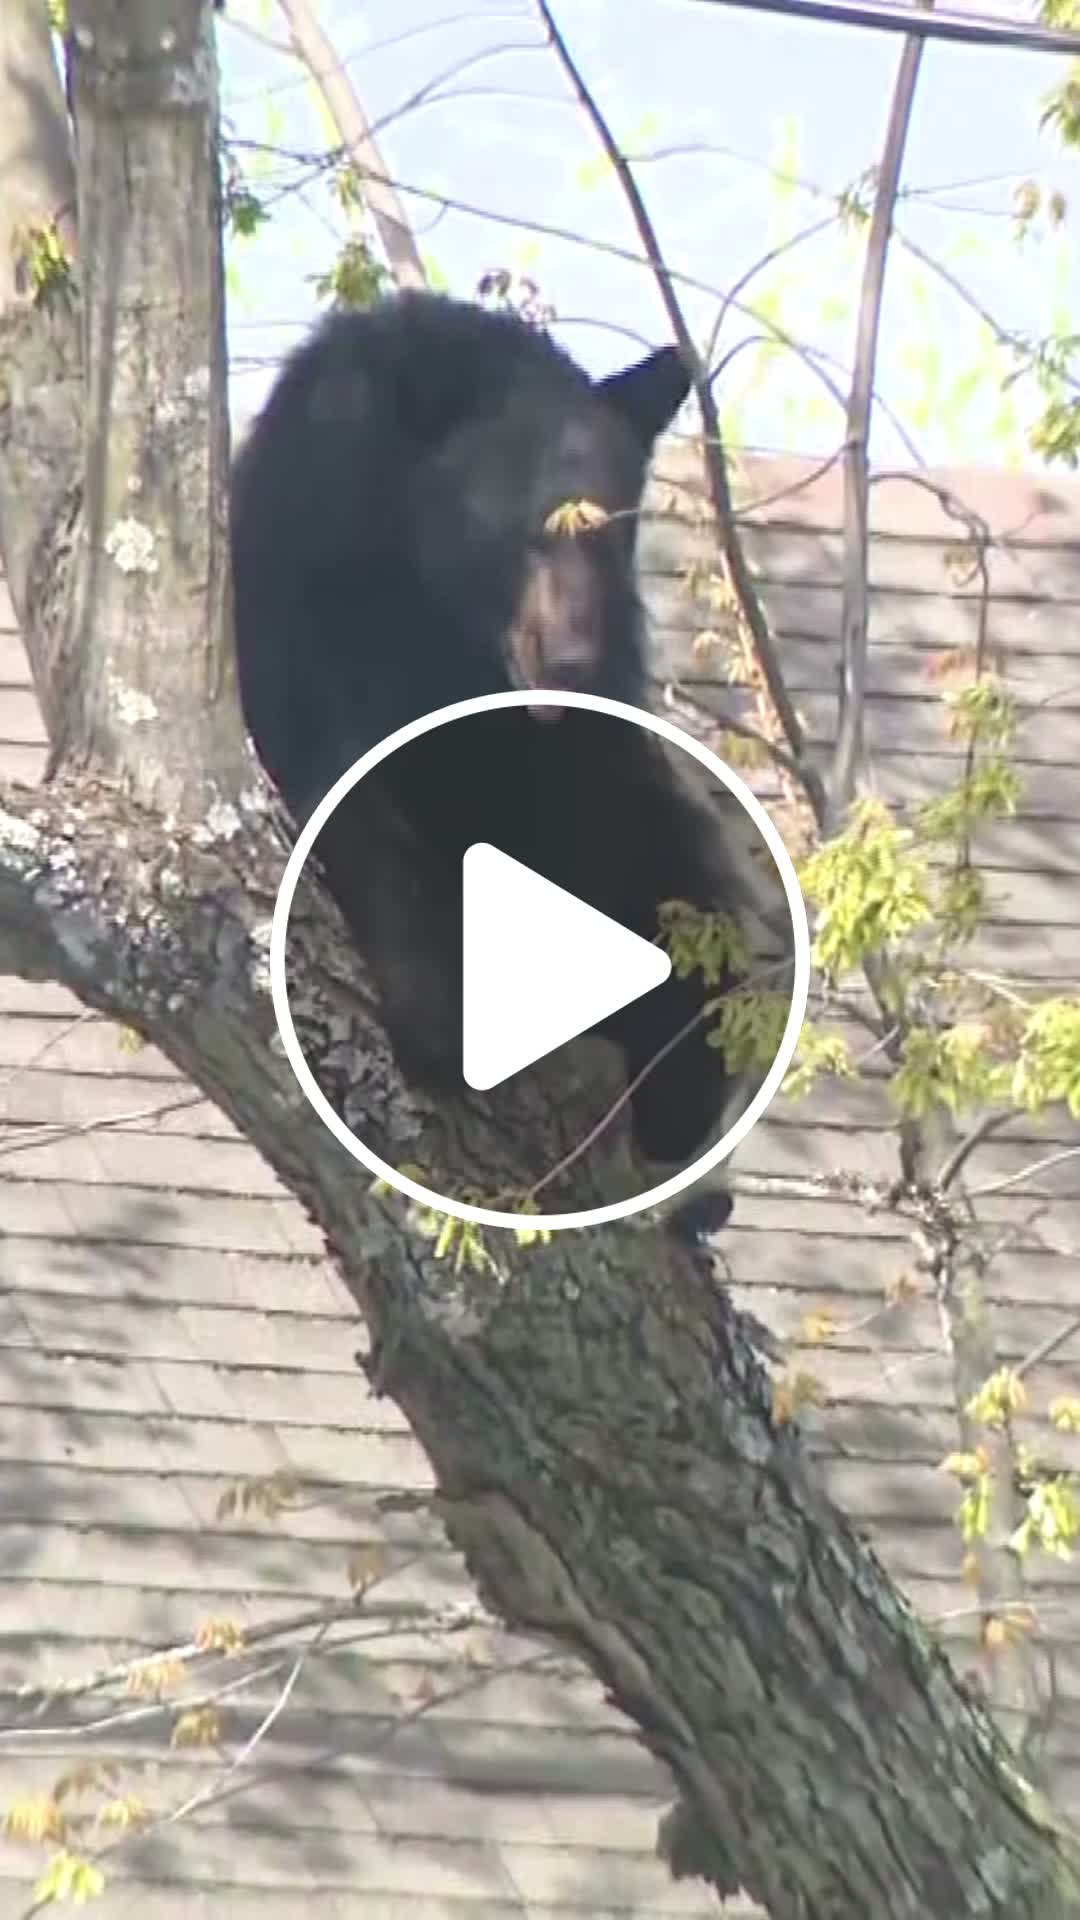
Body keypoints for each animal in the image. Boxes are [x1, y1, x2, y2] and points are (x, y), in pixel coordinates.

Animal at [230, 290, 762, 1219]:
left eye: (609, 535)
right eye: (531, 532)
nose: (572, 659)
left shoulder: (578, 736)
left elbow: (576, 821)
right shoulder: (303, 580)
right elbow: (341, 783)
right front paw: (435, 1015)